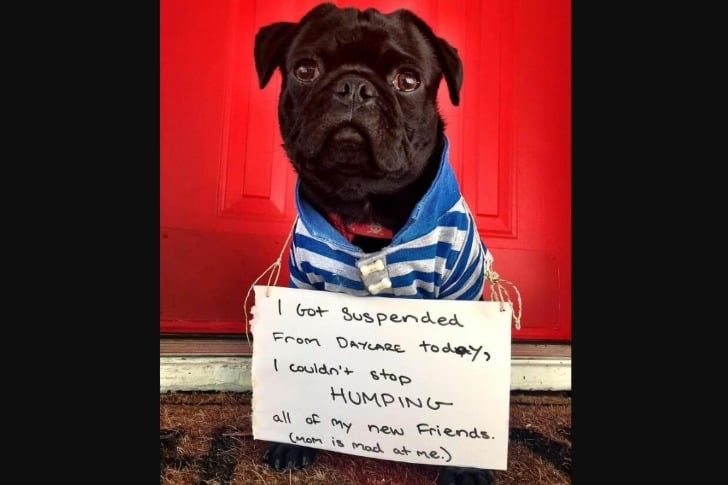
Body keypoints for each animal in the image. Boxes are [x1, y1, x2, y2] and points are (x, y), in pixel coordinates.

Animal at [254, 3, 494, 484]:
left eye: (408, 80)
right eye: (305, 70)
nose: (354, 87)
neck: (364, 202)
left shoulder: (460, 295)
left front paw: (465, 462)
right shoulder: (306, 286)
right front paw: (291, 439)